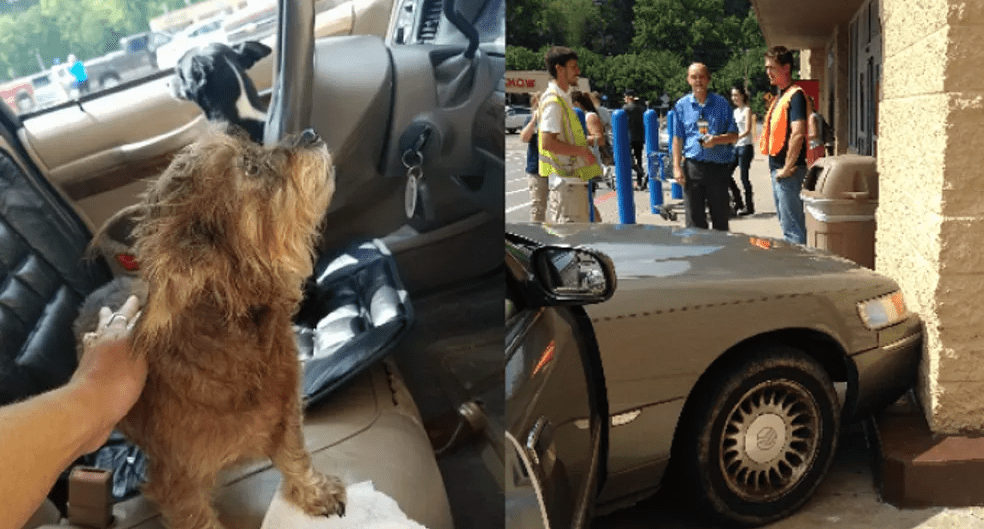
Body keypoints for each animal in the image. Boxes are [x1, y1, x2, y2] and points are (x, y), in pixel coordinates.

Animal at [74, 127, 342, 528]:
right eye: (250, 167)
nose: (310, 134)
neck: (242, 341)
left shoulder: (285, 418)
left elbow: (296, 459)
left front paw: (314, 492)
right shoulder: (178, 485)